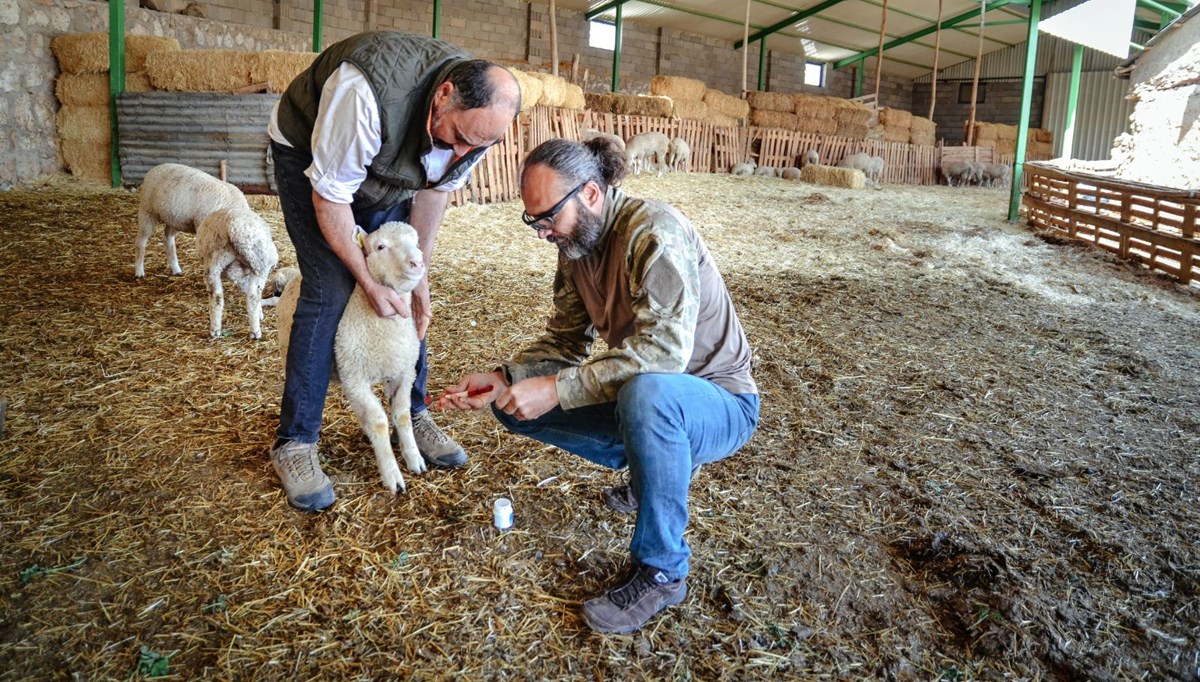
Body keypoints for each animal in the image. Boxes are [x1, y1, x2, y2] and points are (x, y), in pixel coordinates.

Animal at [196, 205, 280, 338]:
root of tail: (231, 227)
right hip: (260, 264)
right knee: (253, 296)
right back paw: (255, 332)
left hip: (213, 264)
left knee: (216, 296)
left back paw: (215, 330)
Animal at [276, 220, 427, 492]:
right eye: (380, 247)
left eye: (417, 242)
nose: (417, 262)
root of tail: (294, 277)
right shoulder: (355, 378)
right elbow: (379, 421)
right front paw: (392, 474)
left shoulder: (403, 371)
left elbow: (401, 414)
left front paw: (413, 457)